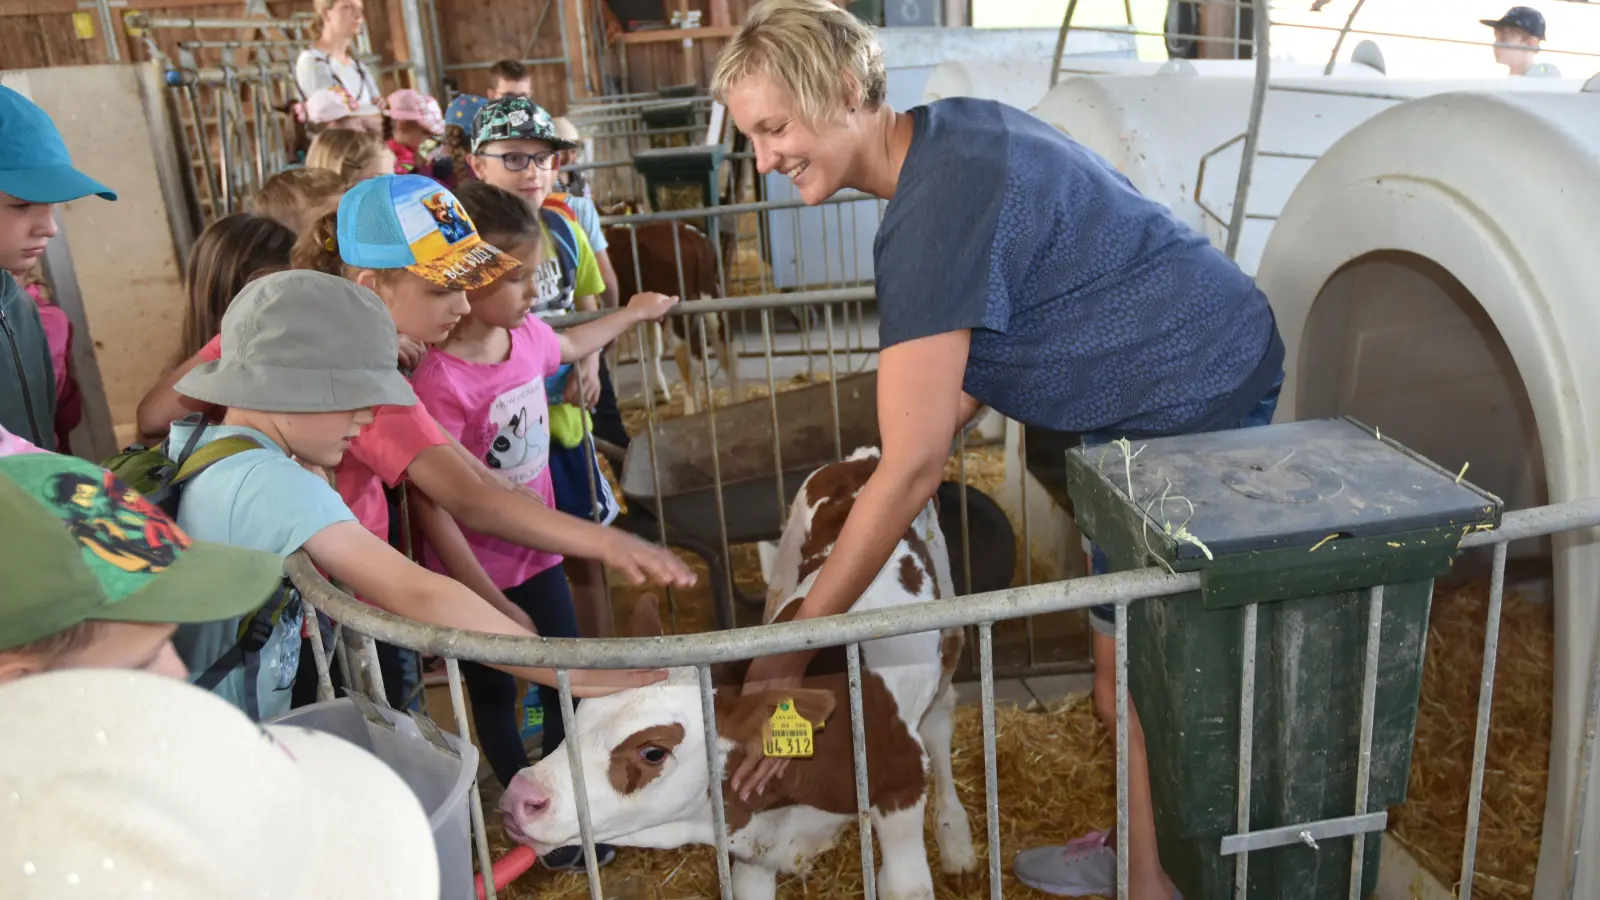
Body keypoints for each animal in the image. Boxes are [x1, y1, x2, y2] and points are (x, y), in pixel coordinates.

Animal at [499, 448, 972, 896]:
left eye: (653, 752)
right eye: (578, 714)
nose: (521, 797)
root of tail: (862, 459)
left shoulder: (901, 784)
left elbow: (908, 882)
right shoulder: (749, 846)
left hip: (948, 627)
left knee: (940, 721)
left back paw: (956, 841)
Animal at [601, 212, 739, 413]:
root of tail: (694, 238)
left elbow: (612, 351)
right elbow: (652, 347)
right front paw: (658, 392)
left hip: (678, 311)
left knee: (690, 358)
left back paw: (690, 410)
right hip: (710, 298)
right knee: (725, 349)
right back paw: (736, 400)